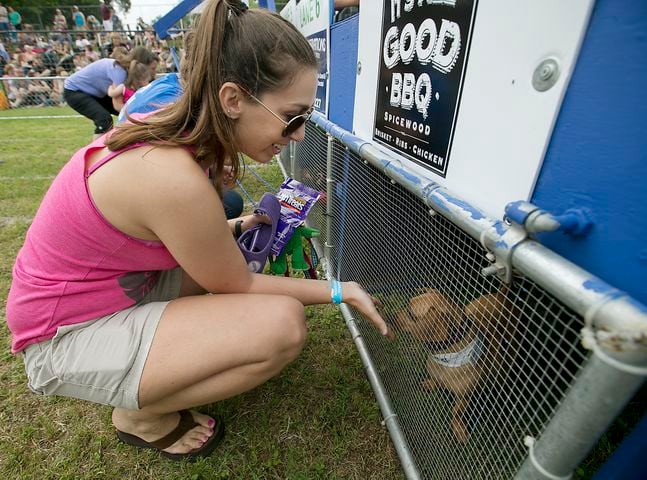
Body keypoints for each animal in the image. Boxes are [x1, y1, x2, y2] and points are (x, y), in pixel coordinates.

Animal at [398, 288, 520, 442]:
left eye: (411, 314)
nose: (393, 316)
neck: (446, 357)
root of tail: (502, 294)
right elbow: (435, 381)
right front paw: (431, 384)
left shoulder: (464, 397)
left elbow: (456, 412)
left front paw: (458, 428)